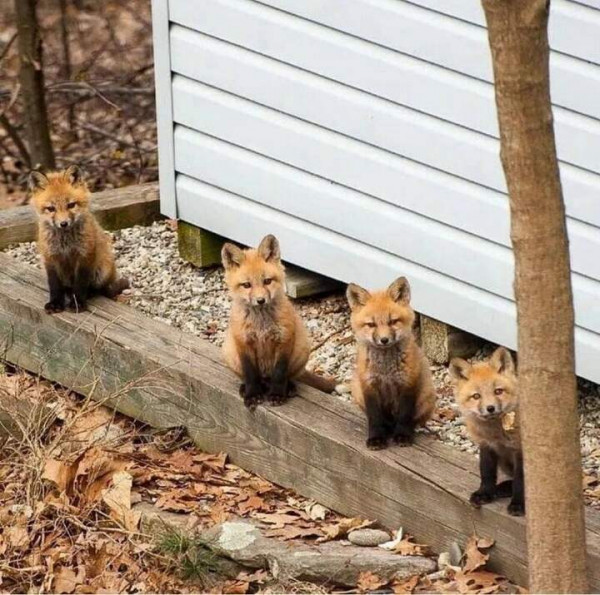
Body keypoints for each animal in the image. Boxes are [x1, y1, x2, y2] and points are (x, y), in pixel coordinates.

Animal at [28, 163, 129, 312]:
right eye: (51, 208)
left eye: (71, 205)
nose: (63, 223)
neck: (65, 243)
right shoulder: (50, 257)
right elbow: (54, 285)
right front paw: (55, 303)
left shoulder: (85, 256)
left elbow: (80, 284)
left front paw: (78, 303)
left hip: (101, 272)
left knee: (99, 289)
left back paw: (89, 293)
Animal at [221, 233, 336, 410]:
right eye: (246, 285)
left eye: (267, 281)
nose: (260, 300)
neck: (261, 325)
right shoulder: (243, 342)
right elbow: (250, 374)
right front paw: (252, 394)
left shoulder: (284, 339)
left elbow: (280, 373)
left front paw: (276, 394)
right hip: (230, 353)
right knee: (253, 378)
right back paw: (246, 388)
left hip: (301, 350)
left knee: (289, 377)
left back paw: (288, 388)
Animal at [346, 278, 436, 450]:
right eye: (371, 324)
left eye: (393, 321)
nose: (384, 340)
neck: (385, 370)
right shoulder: (369, 385)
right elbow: (374, 418)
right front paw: (376, 438)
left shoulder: (408, 383)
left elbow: (404, 416)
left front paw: (402, 436)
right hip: (357, 391)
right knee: (385, 421)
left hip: (426, 398)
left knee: (412, 421)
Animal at [448, 350, 524, 516]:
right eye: (476, 396)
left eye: (498, 391)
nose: (490, 408)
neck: (496, 434)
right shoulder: (486, 445)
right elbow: (486, 472)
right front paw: (484, 493)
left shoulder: (521, 450)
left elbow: (520, 481)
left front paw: (518, 504)